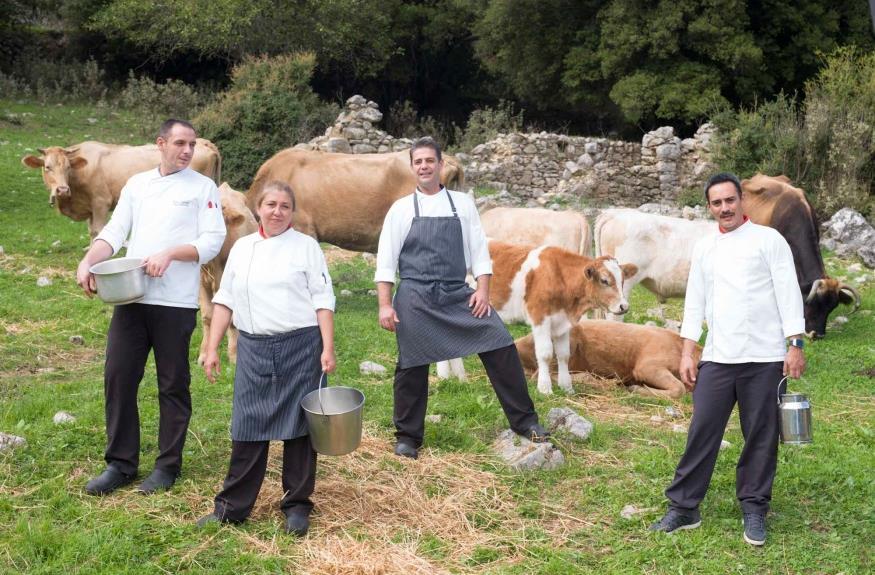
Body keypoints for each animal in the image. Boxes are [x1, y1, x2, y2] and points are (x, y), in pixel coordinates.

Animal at [24, 141, 224, 242]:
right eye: (47, 167)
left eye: (67, 167)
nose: (62, 189)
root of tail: (203, 142)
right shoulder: (90, 207)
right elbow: (91, 231)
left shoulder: (101, 202)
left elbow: (98, 230)